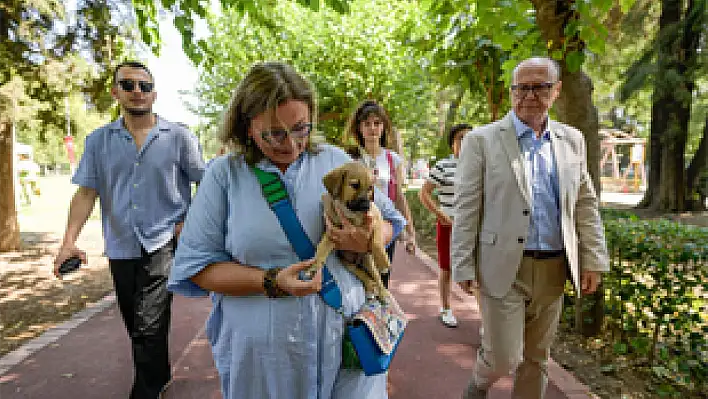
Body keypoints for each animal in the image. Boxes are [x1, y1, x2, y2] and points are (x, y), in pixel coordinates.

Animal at [306, 162, 390, 300]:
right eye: (354, 185)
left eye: (370, 188)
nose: (366, 205)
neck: (351, 213)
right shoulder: (332, 232)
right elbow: (322, 248)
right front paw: (314, 267)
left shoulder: (377, 220)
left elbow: (377, 242)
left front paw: (383, 262)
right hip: (347, 263)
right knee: (360, 272)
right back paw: (370, 287)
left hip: (368, 260)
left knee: (377, 277)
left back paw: (383, 292)